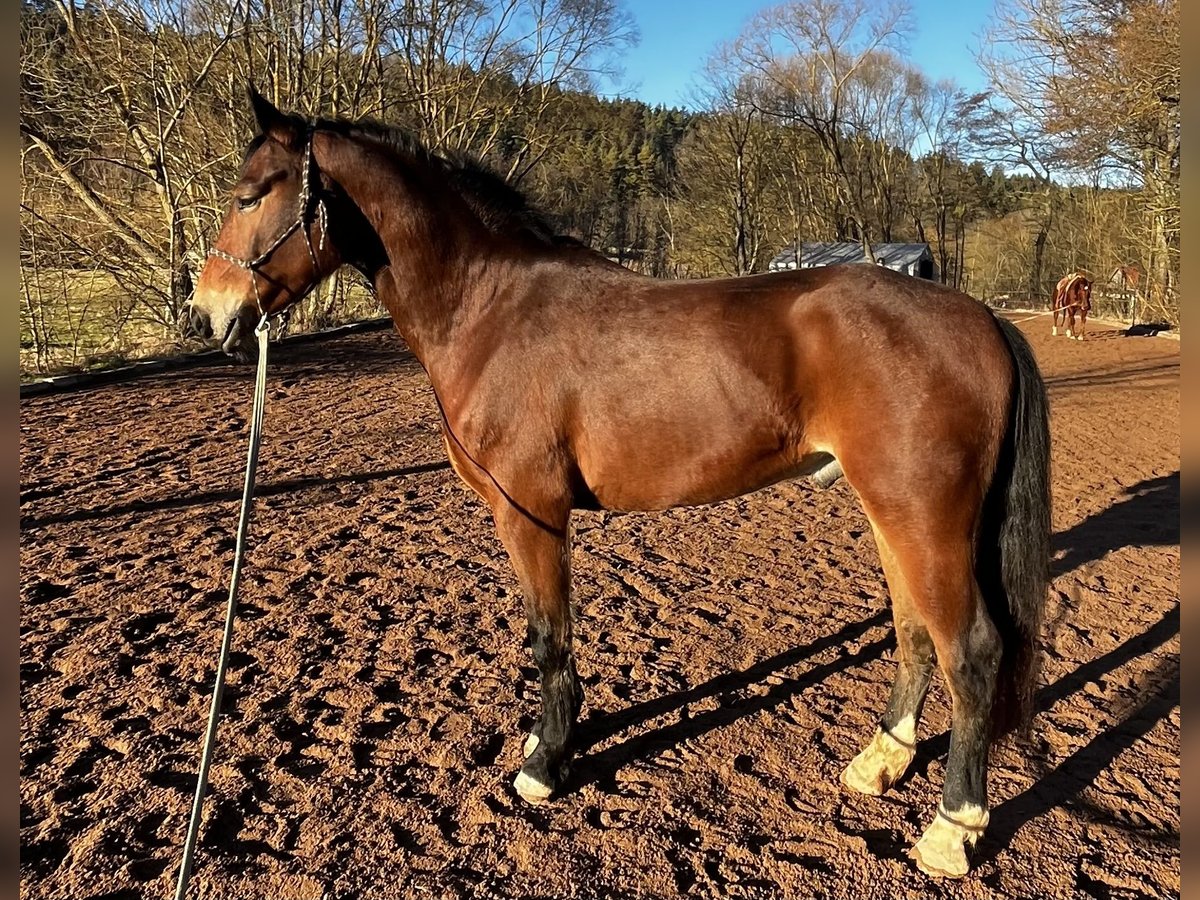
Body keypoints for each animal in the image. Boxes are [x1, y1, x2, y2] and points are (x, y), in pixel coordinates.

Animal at [184, 91, 1051, 883]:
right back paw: (881, 762)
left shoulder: (531, 514)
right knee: (913, 632)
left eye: (252, 193)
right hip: (890, 513)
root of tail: (978, 317)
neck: (489, 309)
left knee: (969, 649)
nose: (207, 314)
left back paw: (952, 828)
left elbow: (549, 637)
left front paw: (545, 763)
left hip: (924, 517)